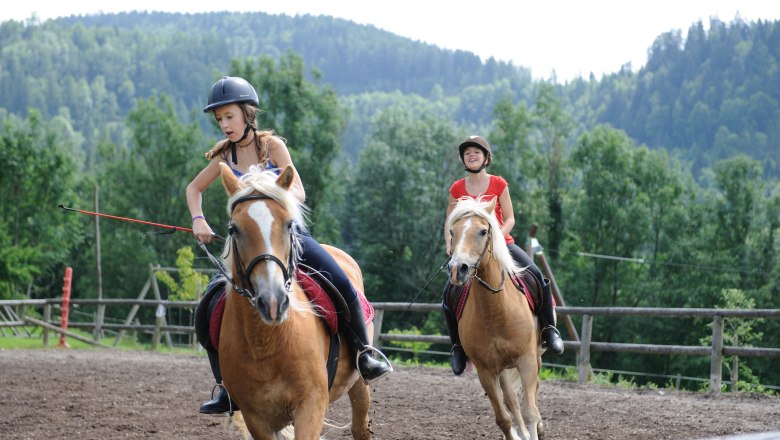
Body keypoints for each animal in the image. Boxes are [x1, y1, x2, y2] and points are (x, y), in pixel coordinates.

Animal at [213, 163, 372, 438]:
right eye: (234, 229)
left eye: (289, 225)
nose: (273, 301)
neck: (266, 344)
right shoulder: (256, 417)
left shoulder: (311, 405)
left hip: (359, 383)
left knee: (359, 425)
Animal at [448, 197, 544, 440]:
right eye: (452, 232)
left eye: (483, 231)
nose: (457, 269)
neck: (496, 313)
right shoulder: (485, 371)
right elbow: (503, 417)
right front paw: (517, 434)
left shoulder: (527, 359)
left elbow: (530, 411)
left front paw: (534, 428)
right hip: (501, 369)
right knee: (511, 400)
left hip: (535, 355)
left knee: (533, 393)